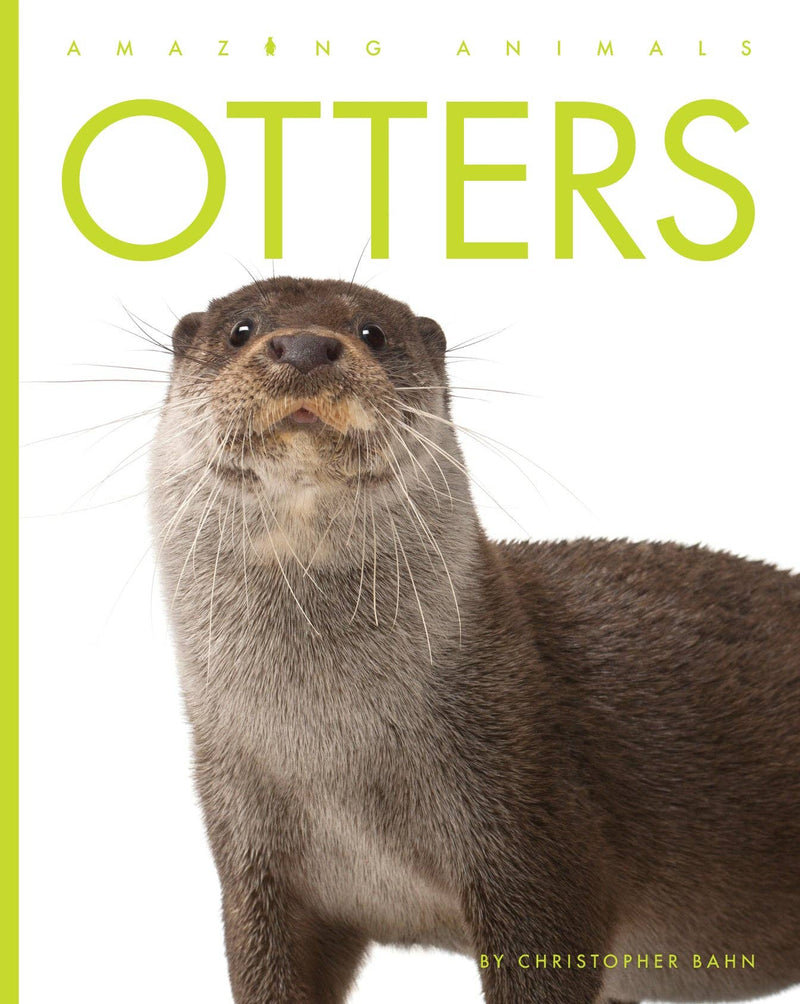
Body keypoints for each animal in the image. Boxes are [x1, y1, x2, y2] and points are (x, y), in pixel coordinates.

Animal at [149, 277, 800, 1004]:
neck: (334, 759)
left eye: (372, 331)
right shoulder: (251, 861)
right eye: (241, 329)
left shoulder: (531, 822)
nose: (305, 345)